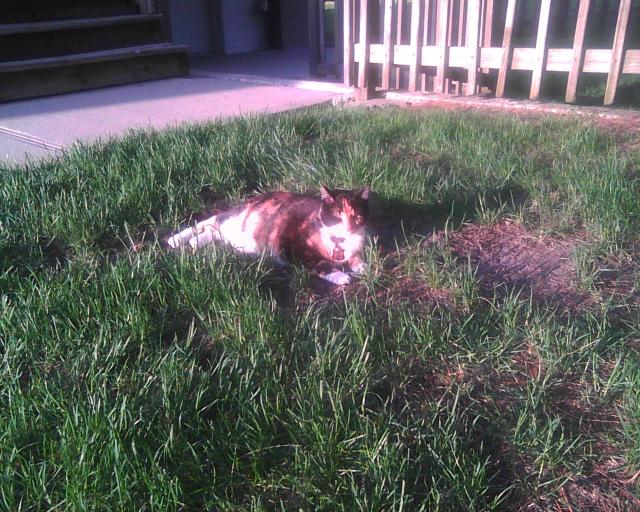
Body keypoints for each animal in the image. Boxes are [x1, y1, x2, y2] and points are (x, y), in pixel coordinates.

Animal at [166, 187, 370, 286]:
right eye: (338, 215)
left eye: (357, 216)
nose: (349, 228)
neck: (340, 242)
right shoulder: (294, 249)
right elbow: (319, 264)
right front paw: (342, 276)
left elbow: (356, 259)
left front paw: (363, 267)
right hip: (235, 220)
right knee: (212, 221)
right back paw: (175, 240)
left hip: (240, 242)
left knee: (213, 230)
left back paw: (194, 243)